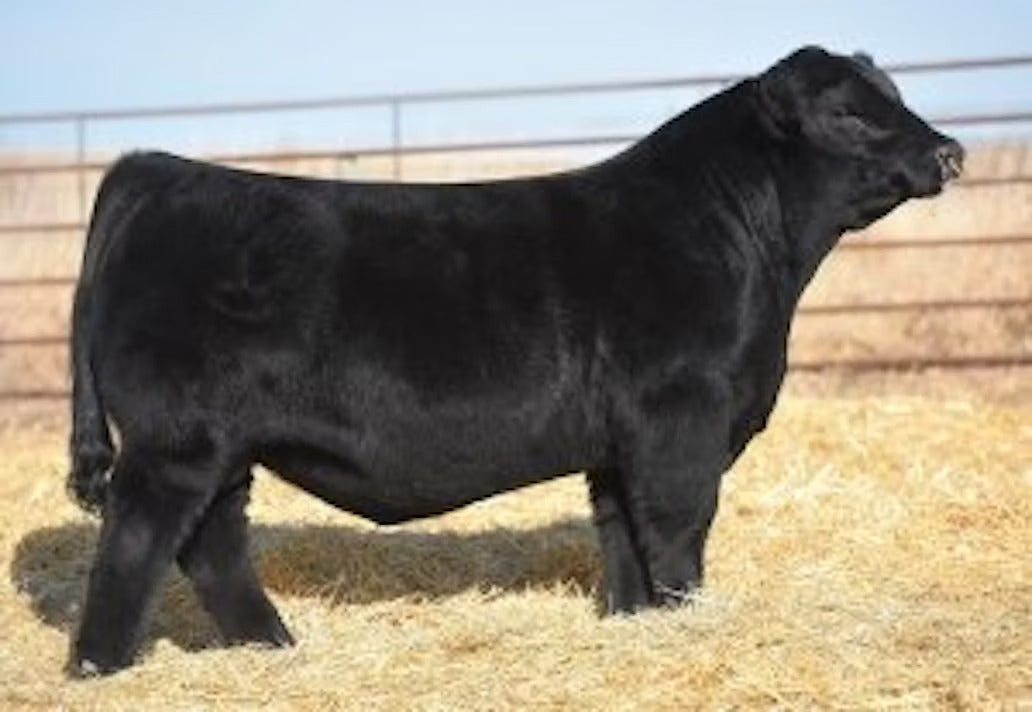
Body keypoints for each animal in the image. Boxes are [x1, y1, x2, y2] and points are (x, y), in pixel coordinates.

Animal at [65, 46, 962, 676]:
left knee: (211, 544)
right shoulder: (680, 420)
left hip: (222, 447)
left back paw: (274, 647)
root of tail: (153, 169)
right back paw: (102, 668)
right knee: (138, 541)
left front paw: (633, 625)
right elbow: (677, 530)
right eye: (849, 114)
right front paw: (684, 619)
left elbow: (621, 538)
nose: (951, 152)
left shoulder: (617, 442)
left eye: (896, 96)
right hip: (177, 440)